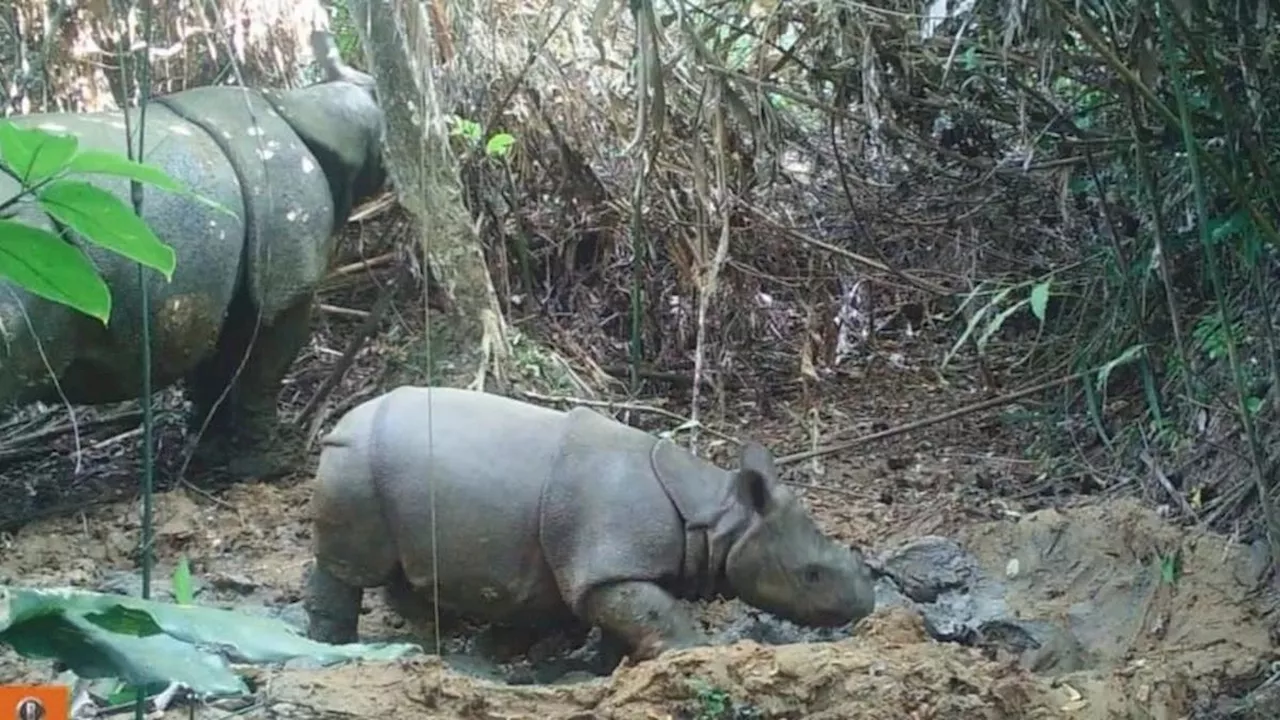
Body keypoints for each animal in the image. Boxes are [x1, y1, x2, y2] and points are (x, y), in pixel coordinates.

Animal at [0, 32, 384, 476]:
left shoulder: (222, 282)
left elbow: (213, 367)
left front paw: (206, 456)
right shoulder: (285, 280)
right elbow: (266, 368)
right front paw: (272, 466)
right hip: (23, 242)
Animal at [304, 384, 875, 661]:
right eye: (811, 575)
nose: (864, 604)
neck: (718, 517)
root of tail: (338, 423)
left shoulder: (606, 566)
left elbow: (629, 615)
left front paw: (593, 663)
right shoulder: (608, 565)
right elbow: (651, 611)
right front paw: (699, 652)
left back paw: (444, 640)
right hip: (356, 466)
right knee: (349, 566)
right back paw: (335, 646)